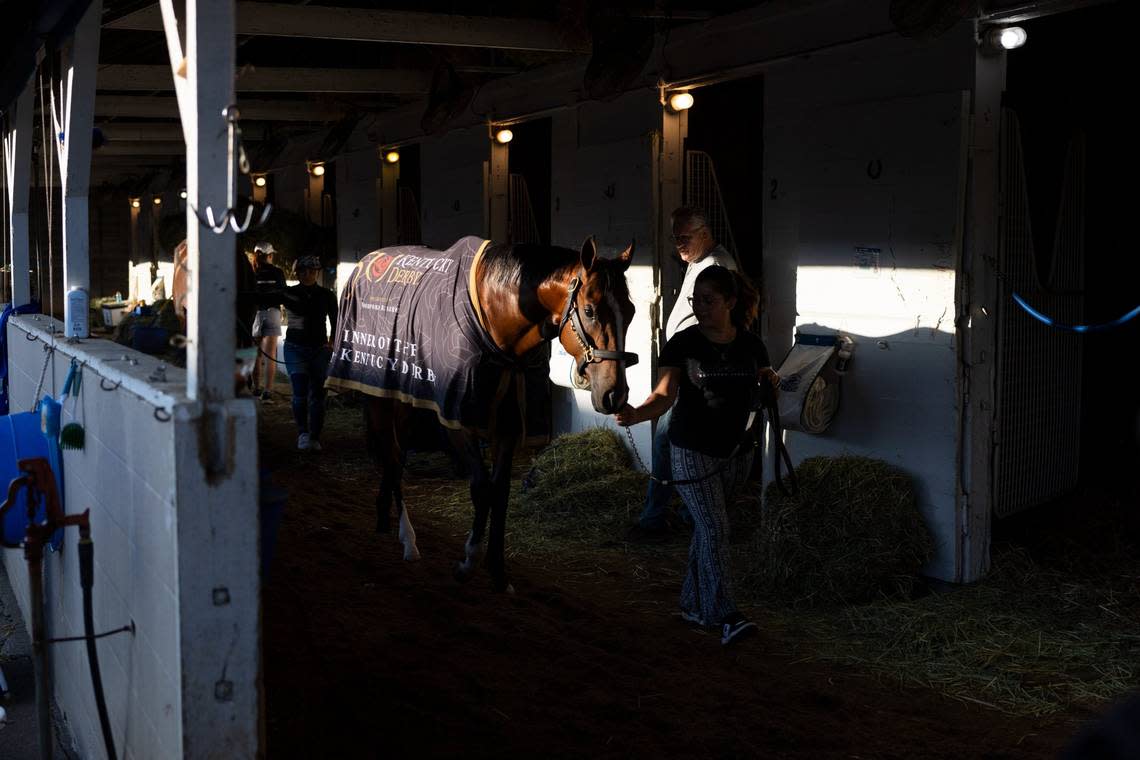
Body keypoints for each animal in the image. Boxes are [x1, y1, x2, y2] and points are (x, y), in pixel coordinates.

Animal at [355, 238, 638, 592]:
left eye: (630, 312)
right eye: (589, 310)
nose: (615, 394)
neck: (497, 323)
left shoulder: (508, 425)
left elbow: (500, 492)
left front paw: (498, 570)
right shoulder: (457, 418)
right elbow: (480, 487)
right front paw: (468, 561)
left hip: (407, 398)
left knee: (396, 455)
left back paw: (384, 517)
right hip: (379, 394)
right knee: (392, 455)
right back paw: (408, 539)